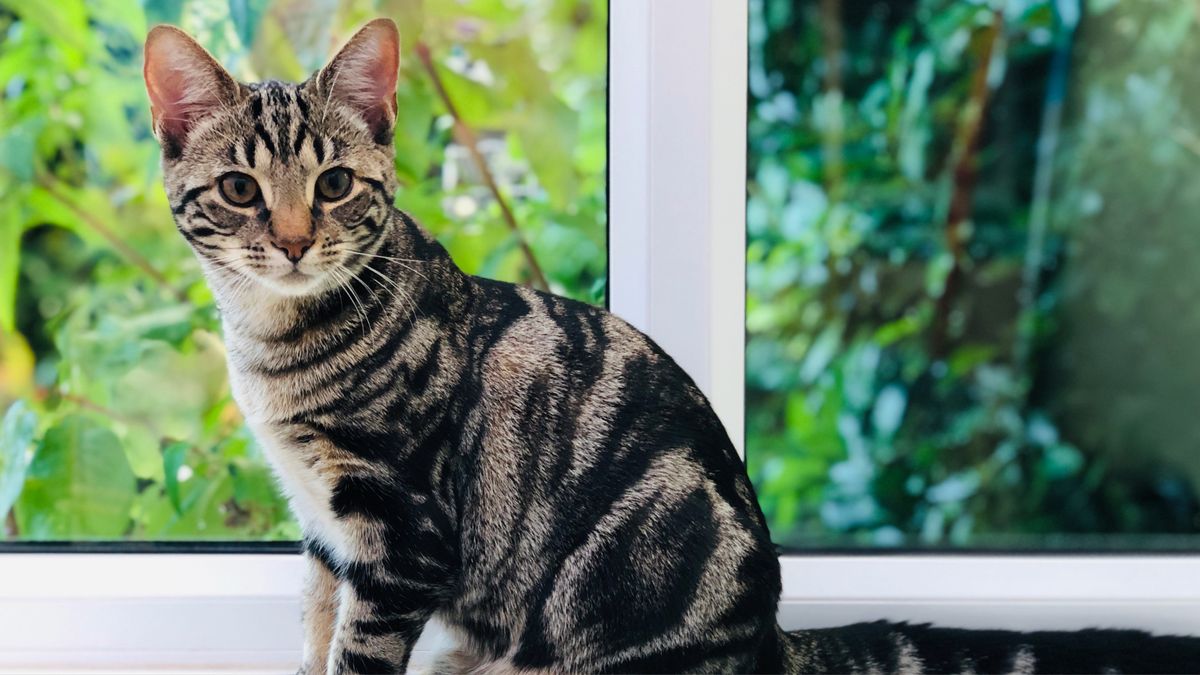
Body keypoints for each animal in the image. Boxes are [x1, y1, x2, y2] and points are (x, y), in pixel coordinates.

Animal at [142, 18, 1200, 667]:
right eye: (239, 188)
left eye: (333, 186)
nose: (291, 240)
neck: (278, 345)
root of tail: (767, 641)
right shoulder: (327, 527)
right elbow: (317, 629)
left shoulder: (399, 527)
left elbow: (356, 649)